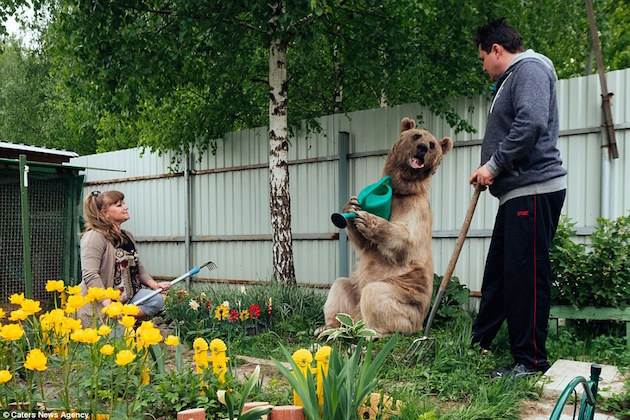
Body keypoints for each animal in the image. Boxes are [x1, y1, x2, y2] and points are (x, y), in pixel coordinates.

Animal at [324, 117, 452, 334]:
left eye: (432, 144)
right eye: (416, 135)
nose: (422, 148)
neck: (401, 190)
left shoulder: (417, 209)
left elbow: (407, 239)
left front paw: (370, 220)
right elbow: (363, 243)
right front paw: (351, 206)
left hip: (405, 297)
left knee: (375, 295)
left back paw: (373, 333)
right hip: (355, 289)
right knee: (339, 287)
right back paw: (329, 327)